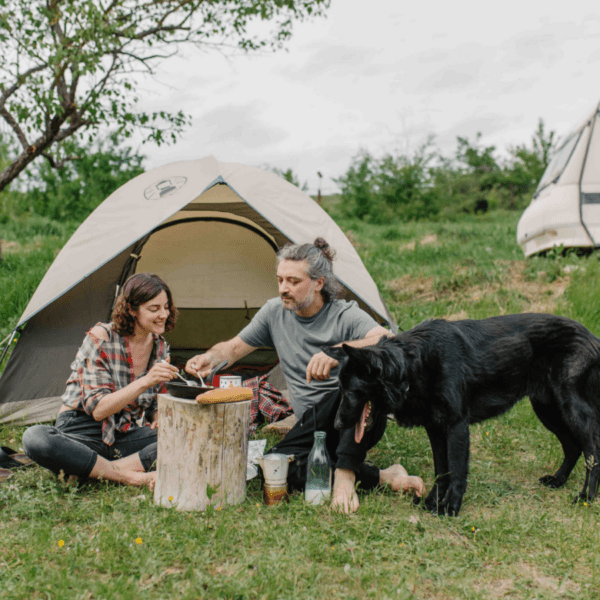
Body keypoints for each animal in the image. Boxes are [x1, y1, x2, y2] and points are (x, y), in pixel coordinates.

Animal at [326, 314, 600, 516]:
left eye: (350, 391)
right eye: (340, 388)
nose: (337, 425)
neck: (413, 365)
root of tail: (592, 338)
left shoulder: (457, 426)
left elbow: (456, 471)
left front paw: (450, 507)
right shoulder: (435, 429)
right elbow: (441, 470)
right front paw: (433, 502)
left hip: (570, 411)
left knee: (592, 450)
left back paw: (587, 496)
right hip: (548, 411)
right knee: (573, 447)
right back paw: (558, 480)